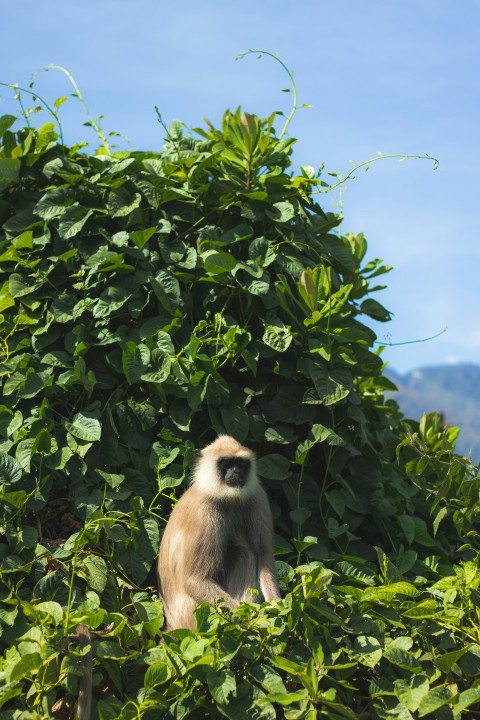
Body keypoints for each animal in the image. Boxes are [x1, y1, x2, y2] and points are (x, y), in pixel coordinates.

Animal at [157, 435, 281, 631]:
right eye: (226, 463)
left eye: (241, 463)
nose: (237, 472)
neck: (226, 498)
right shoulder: (203, 512)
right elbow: (194, 581)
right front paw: (251, 620)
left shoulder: (257, 495)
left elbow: (263, 552)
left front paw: (276, 605)